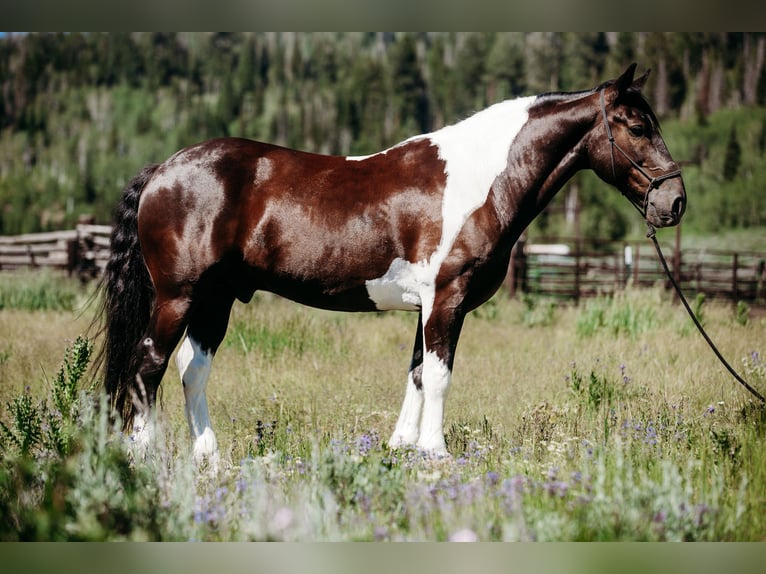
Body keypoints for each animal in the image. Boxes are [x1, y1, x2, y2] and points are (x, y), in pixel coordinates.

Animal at [97, 64, 688, 464]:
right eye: (636, 127)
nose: (675, 201)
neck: (480, 179)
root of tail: (163, 169)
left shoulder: (426, 305)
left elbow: (419, 374)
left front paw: (403, 447)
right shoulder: (447, 297)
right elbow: (441, 375)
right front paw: (436, 453)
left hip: (215, 299)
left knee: (190, 370)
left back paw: (209, 458)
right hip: (178, 296)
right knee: (148, 365)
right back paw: (143, 454)